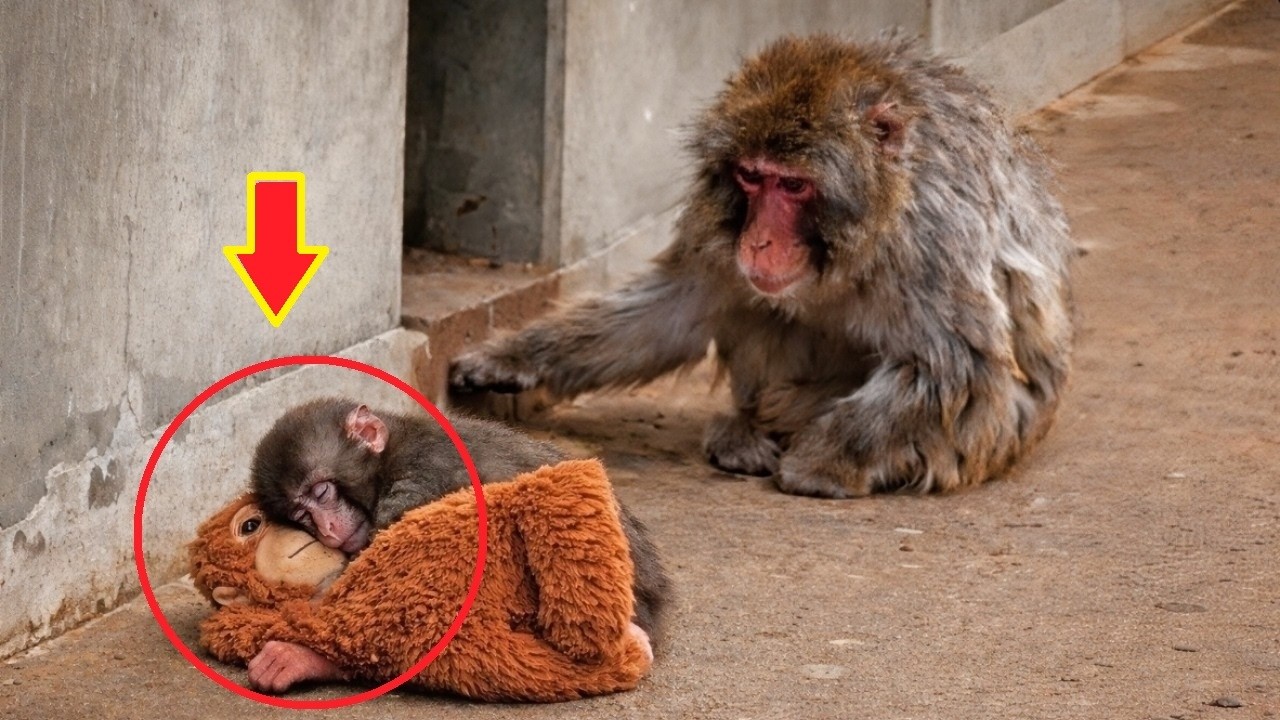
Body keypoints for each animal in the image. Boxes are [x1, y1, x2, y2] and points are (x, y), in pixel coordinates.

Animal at [450, 34, 1074, 499]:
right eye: (751, 176)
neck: (872, 224)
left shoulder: (935, 236)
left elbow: (956, 365)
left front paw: (822, 461)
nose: (760, 242)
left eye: (794, 185)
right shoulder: (717, 222)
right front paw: (511, 357)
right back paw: (746, 432)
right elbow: (677, 307)